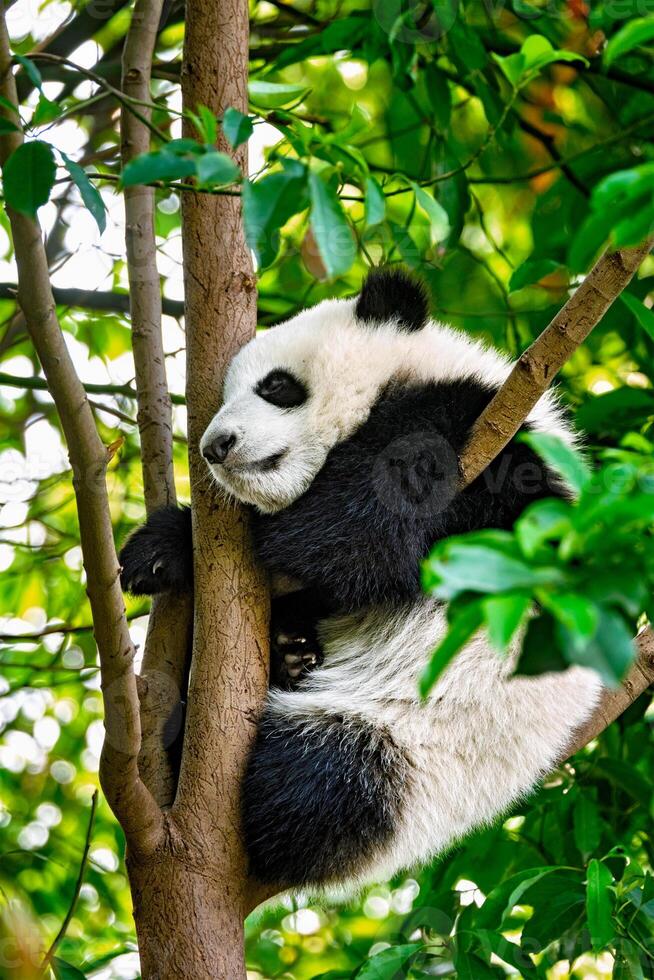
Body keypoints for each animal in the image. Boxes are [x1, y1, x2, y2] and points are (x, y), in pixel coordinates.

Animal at [119, 268, 604, 896]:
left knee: (319, 783)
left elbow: (356, 537)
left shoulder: (489, 443)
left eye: (277, 386)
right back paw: (288, 654)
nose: (215, 447)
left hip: (410, 751)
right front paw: (154, 554)